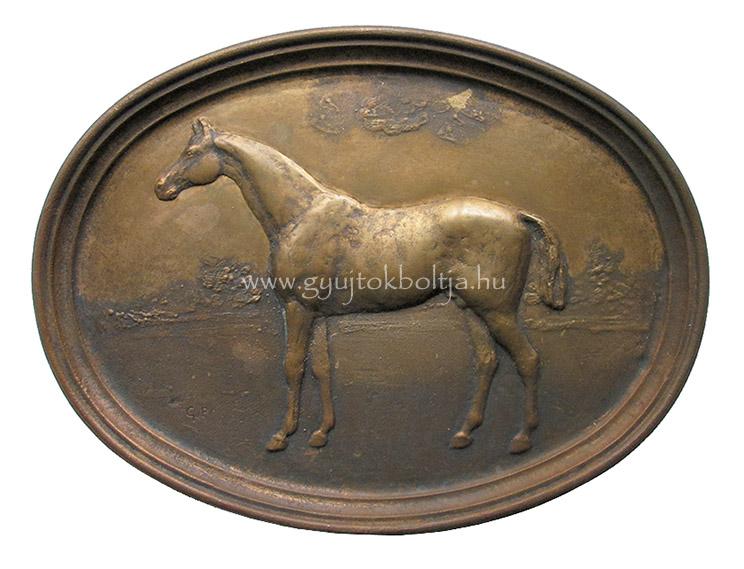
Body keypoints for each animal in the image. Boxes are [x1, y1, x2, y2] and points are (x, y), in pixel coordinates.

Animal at [155, 117, 567, 454]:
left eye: (191, 152)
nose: (161, 187)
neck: (299, 217)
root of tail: (517, 215)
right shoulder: (319, 314)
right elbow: (322, 368)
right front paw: (320, 433)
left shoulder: (298, 309)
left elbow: (292, 366)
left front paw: (282, 436)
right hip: (472, 309)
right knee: (486, 362)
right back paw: (464, 434)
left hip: (498, 312)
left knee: (528, 360)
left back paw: (522, 438)